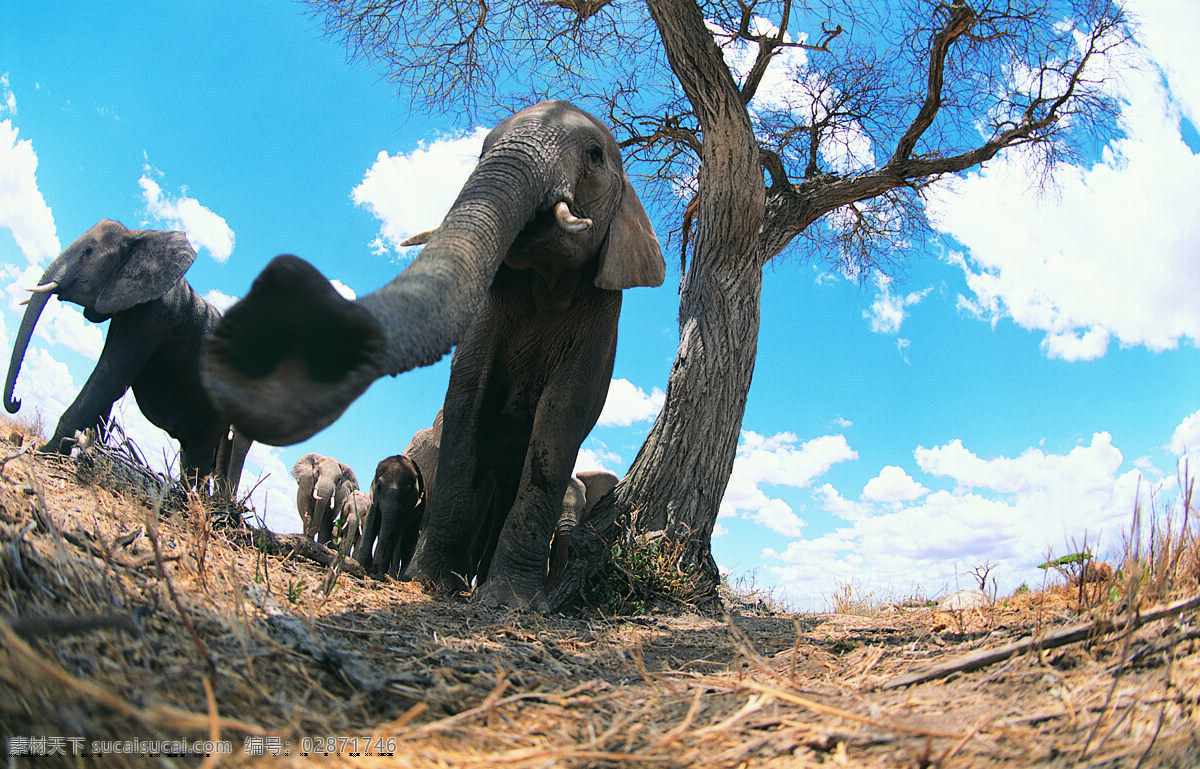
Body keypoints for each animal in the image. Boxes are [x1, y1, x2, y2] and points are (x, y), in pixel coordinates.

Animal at [2, 218, 249, 489]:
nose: (16, 401)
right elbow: (106, 385)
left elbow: (109, 377)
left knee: (197, 459)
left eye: (88, 252)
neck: (137, 238)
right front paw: (87, 453)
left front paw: (44, 453)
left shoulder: (152, 314)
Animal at [200, 100, 662, 611]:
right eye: (482, 149)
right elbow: (466, 391)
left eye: (596, 155)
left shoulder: (602, 318)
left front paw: (508, 604)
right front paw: (430, 583)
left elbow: (562, 415)